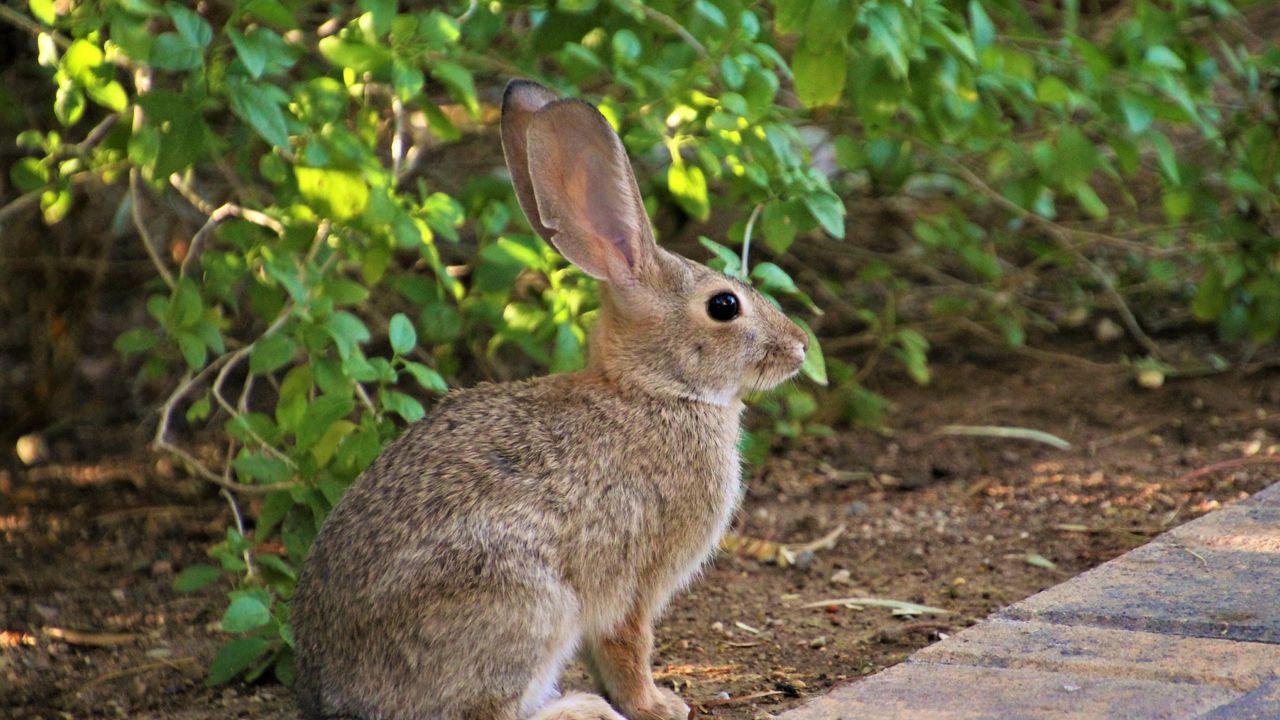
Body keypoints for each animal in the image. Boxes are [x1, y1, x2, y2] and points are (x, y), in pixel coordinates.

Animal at [294, 78, 803, 717]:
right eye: (724, 305)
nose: (800, 347)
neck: (654, 390)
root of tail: (336, 698)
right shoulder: (634, 578)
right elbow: (627, 646)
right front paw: (658, 706)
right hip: (528, 604)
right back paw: (583, 708)